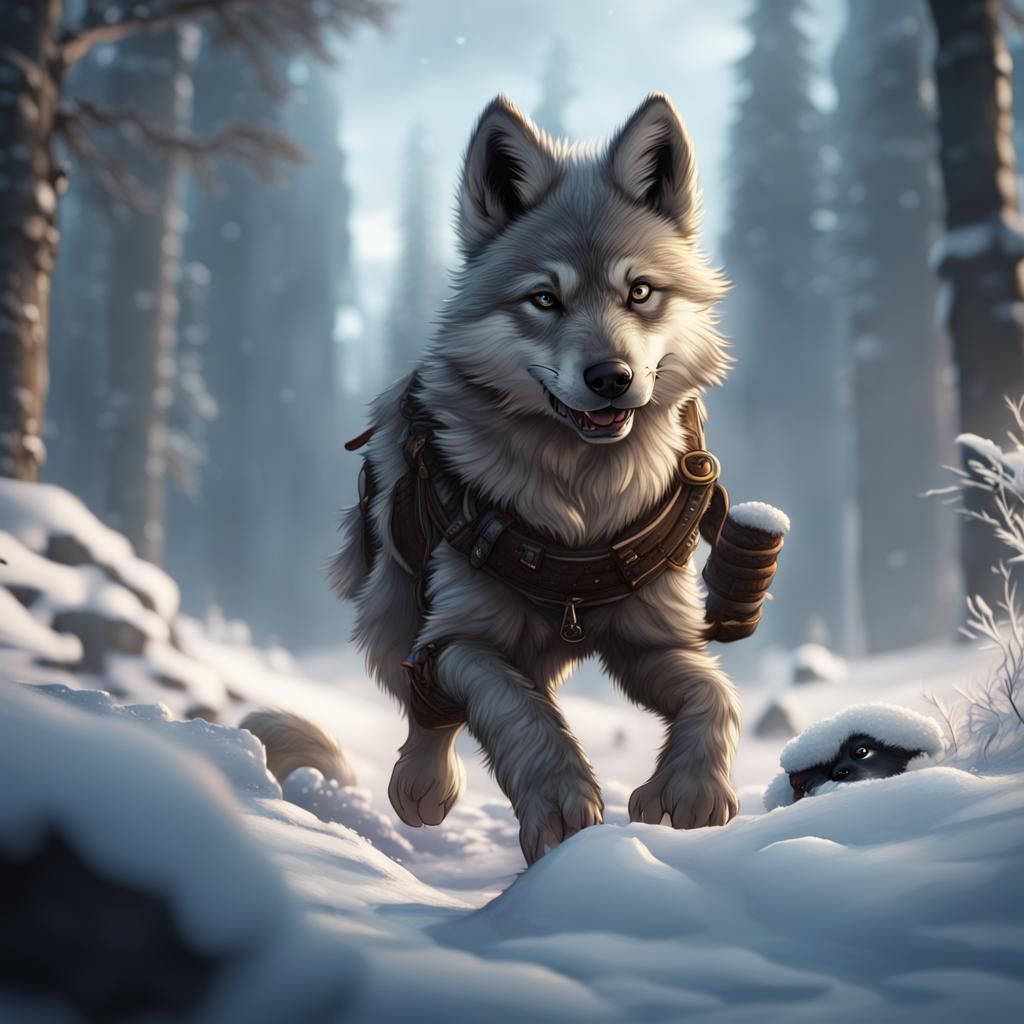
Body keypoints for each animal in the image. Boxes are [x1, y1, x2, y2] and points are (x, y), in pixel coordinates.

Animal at [258, 94, 764, 864]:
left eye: (640, 292)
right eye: (545, 300)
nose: (611, 378)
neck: (583, 504)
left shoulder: (657, 638)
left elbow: (717, 694)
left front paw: (690, 793)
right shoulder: (459, 637)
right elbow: (512, 704)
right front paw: (559, 804)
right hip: (394, 601)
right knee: (426, 703)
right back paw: (421, 786)